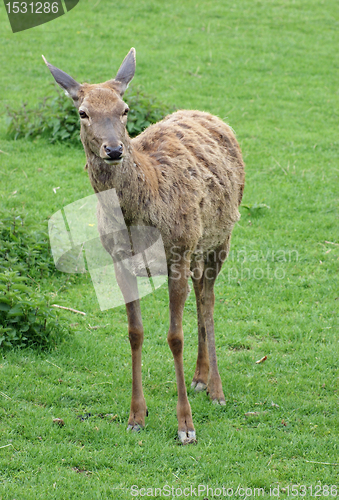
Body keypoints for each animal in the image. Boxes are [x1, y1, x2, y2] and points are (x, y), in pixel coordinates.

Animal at [43, 47, 246, 446]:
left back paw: (216, 389)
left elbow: (174, 336)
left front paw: (185, 426)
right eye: (82, 112)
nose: (114, 149)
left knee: (208, 300)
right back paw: (199, 378)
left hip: (219, 238)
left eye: (124, 109)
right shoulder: (118, 260)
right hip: (197, 246)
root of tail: (208, 114)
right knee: (201, 293)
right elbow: (134, 333)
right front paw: (137, 416)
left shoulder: (177, 253)